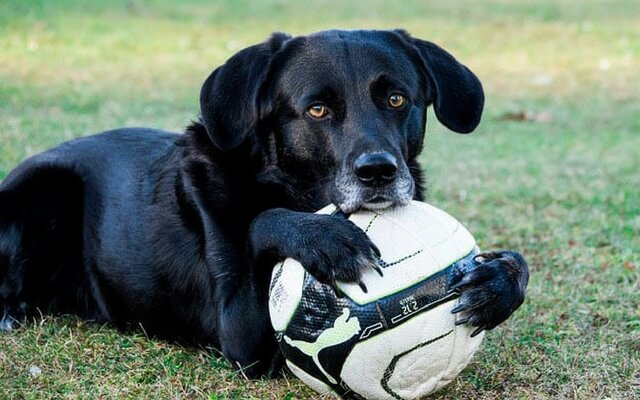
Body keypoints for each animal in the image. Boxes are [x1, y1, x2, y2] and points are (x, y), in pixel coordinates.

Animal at [0, 29, 528, 376]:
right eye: (318, 109)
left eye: (397, 99)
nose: (378, 172)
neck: (288, 186)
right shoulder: (242, 334)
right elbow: (261, 220)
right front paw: (325, 239)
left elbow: (516, 262)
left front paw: (497, 282)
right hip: (43, 189)